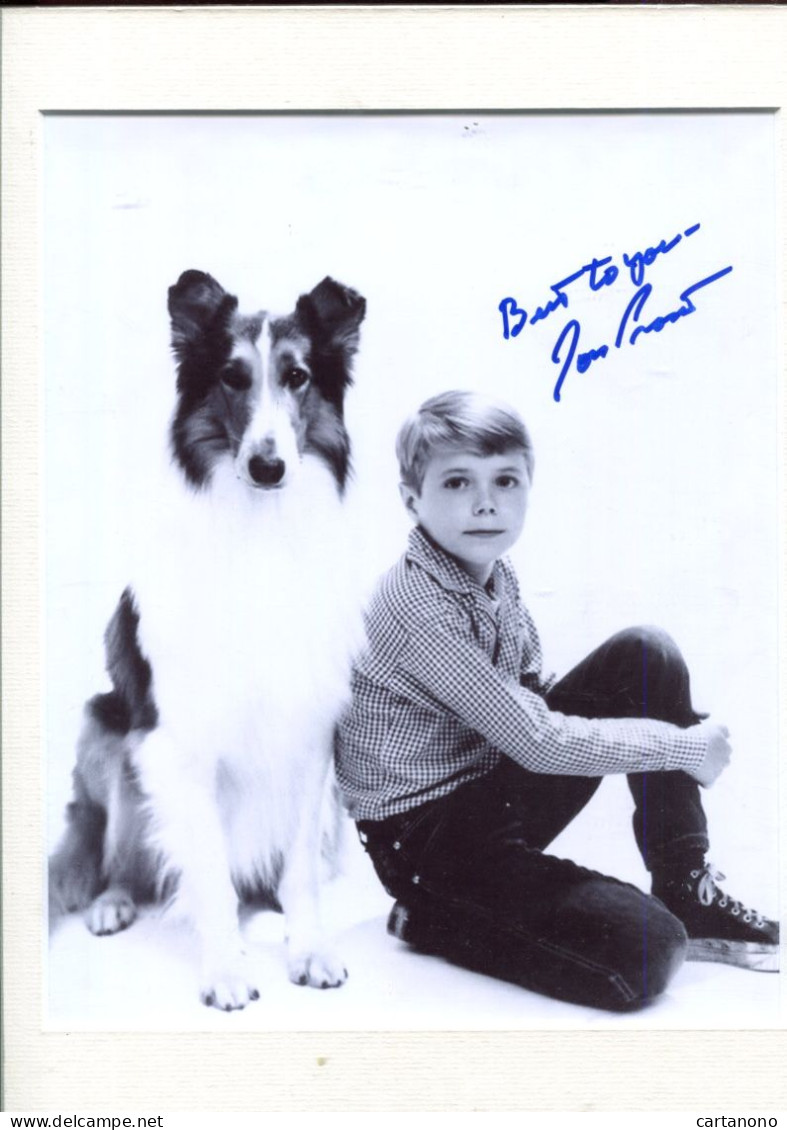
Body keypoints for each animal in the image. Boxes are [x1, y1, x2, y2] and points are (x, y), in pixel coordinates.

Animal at [48, 268, 366, 1012]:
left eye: (298, 376)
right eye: (231, 376)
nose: (268, 467)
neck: (261, 531)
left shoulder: (310, 733)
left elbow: (299, 868)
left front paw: (308, 950)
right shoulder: (179, 744)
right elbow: (211, 876)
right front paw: (224, 969)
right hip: (107, 734)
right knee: (118, 858)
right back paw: (112, 904)